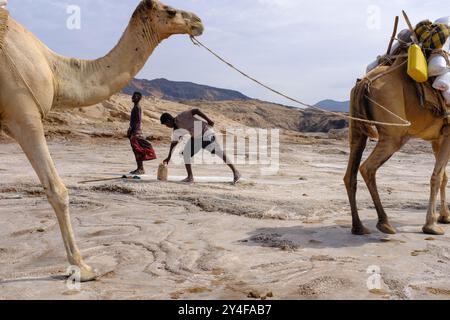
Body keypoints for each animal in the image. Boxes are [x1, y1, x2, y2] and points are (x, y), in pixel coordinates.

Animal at [0, 0, 204, 280]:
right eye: (171, 11)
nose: (198, 22)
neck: (53, 69)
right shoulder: (24, 115)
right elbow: (57, 190)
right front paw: (82, 268)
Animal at [344, 57, 450, 238]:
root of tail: (364, 82)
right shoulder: (448, 132)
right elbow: (437, 177)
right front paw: (431, 225)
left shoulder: (438, 137)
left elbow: (443, 177)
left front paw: (444, 216)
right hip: (394, 133)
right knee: (367, 168)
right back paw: (384, 222)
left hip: (357, 128)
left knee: (351, 171)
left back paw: (358, 227)